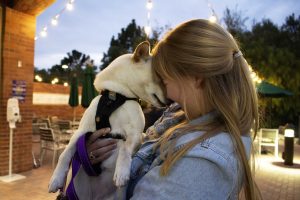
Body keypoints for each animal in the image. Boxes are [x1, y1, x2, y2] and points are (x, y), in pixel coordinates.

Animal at [49, 41, 166, 199]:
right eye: (159, 77)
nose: (171, 100)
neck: (115, 97)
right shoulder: (80, 132)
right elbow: (65, 154)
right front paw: (56, 178)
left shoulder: (135, 134)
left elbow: (125, 148)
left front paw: (121, 172)